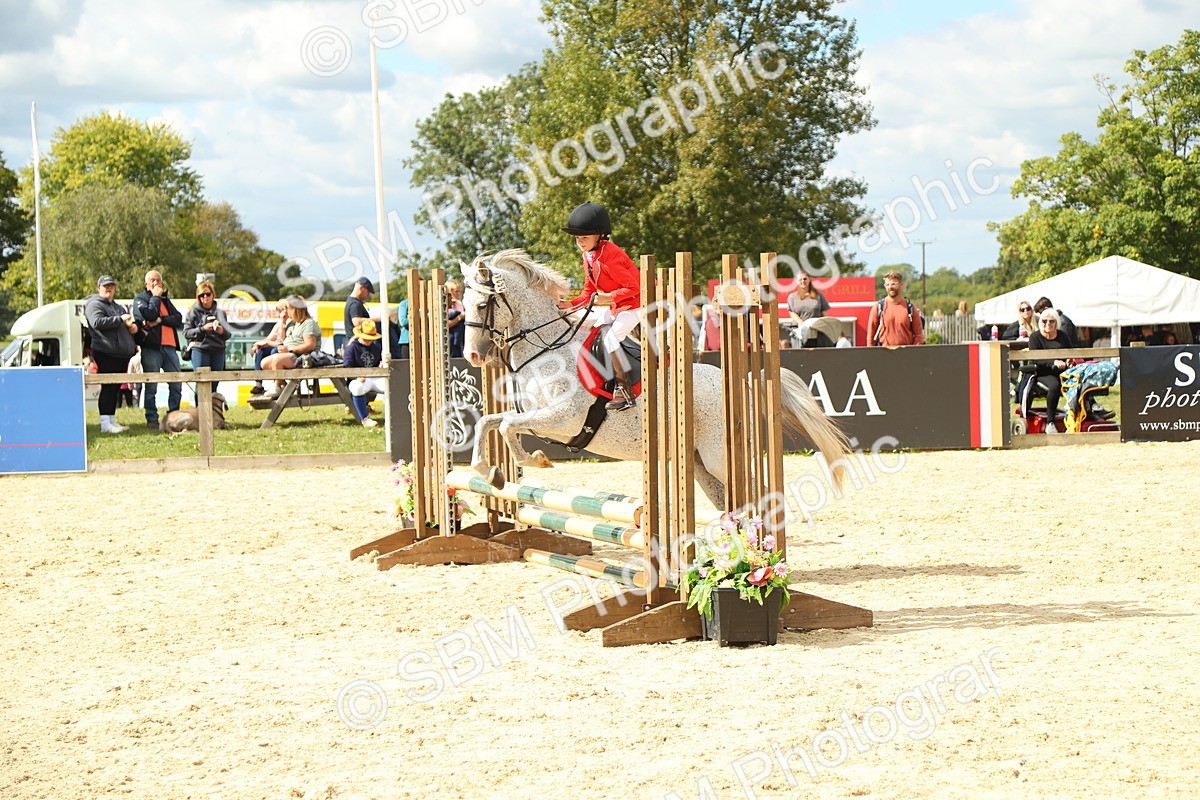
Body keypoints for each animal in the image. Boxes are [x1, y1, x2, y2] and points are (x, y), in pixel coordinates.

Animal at [461, 249, 851, 510]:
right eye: (463, 304)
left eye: (482, 305)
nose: (473, 356)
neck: (548, 348)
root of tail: (745, 384)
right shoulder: (540, 420)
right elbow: (490, 422)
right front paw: (491, 472)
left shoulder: (564, 418)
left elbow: (506, 425)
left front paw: (533, 462)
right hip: (699, 463)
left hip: (718, 457)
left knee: (754, 493)